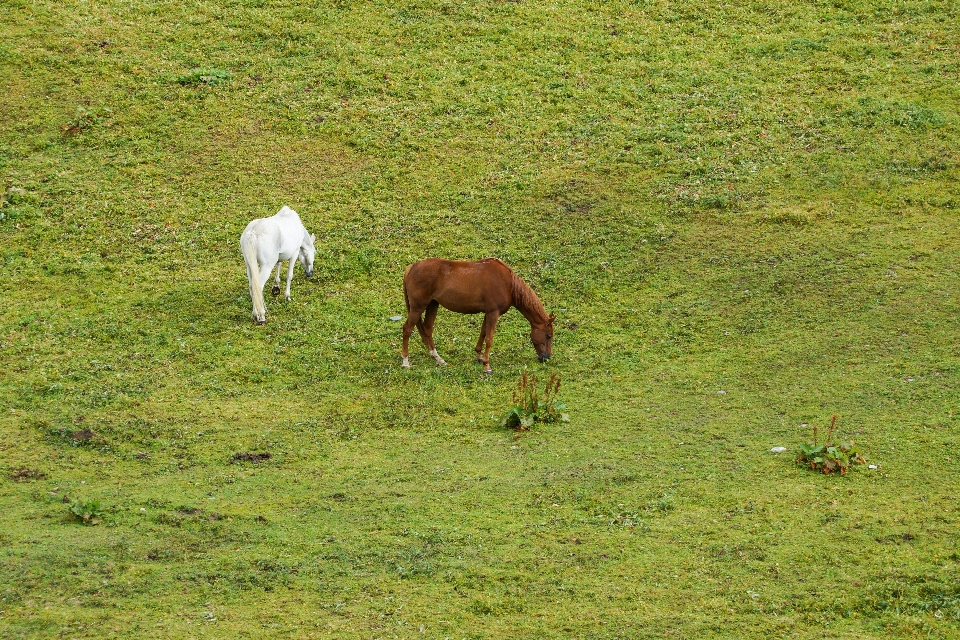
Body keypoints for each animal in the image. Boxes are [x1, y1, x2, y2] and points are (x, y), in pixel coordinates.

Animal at [402, 256, 556, 372]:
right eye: (548, 336)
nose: (547, 357)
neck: (507, 283)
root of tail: (412, 267)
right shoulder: (494, 313)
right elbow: (489, 339)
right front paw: (487, 366)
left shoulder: (488, 313)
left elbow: (483, 333)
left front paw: (479, 356)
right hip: (417, 307)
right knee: (407, 329)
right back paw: (405, 362)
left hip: (432, 305)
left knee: (427, 329)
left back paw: (438, 359)